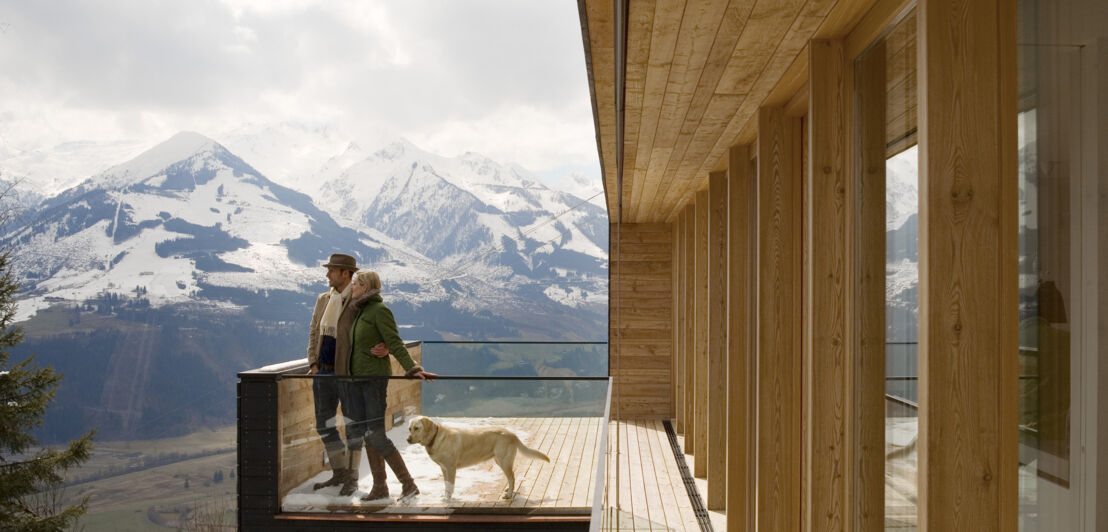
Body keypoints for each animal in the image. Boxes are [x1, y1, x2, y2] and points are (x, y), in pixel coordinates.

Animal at [407, 416, 549, 498]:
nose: (407, 439)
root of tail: (512, 434)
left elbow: (450, 485)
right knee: (511, 478)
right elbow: (446, 485)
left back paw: (509, 494)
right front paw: (445, 496)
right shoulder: (444, 468)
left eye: (417, 428)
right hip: (499, 461)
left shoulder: (451, 468)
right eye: (409, 428)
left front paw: (448, 499)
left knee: (512, 478)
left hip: (504, 461)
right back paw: (509, 490)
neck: (435, 438)